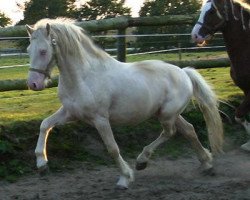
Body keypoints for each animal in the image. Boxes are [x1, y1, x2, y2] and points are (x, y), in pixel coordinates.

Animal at [25, 18, 223, 189]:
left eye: (43, 51)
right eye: (28, 50)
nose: (33, 84)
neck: (83, 77)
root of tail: (184, 72)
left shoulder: (100, 119)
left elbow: (112, 148)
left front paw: (125, 178)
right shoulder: (70, 112)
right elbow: (45, 125)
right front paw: (42, 164)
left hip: (167, 115)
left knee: (170, 132)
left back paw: (142, 161)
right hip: (167, 113)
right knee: (188, 130)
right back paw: (207, 164)